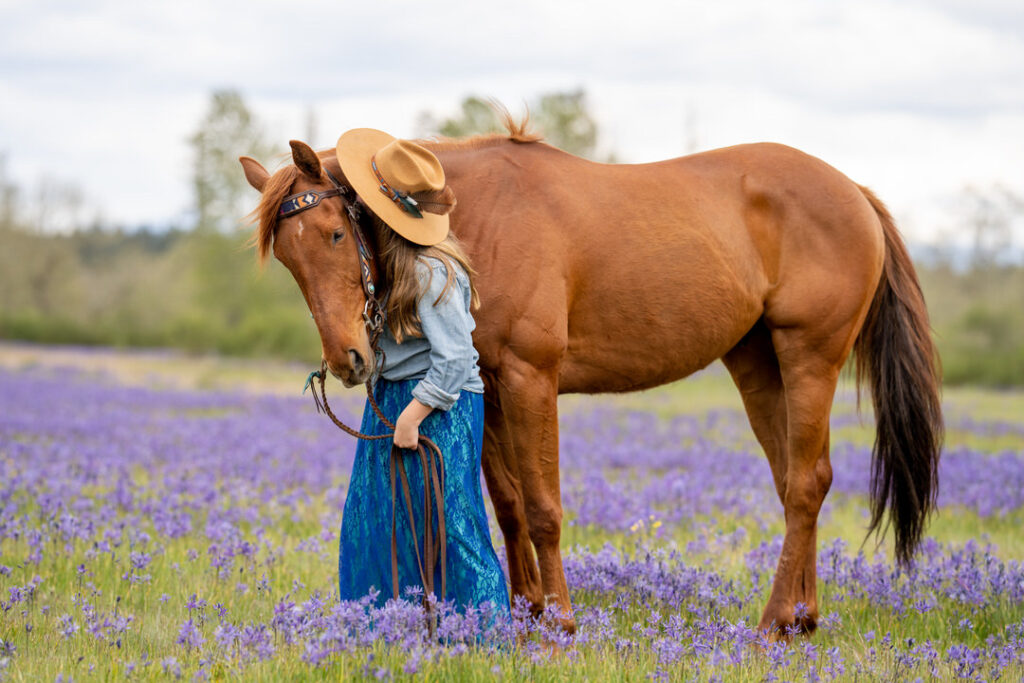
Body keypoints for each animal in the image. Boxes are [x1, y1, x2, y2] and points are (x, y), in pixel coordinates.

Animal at [239, 114, 942, 638]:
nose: (348, 361)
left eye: (334, 233)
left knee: (806, 487)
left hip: (809, 358)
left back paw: (772, 626)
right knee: (798, 479)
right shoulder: (485, 386)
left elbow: (544, 508)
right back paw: (801, 619)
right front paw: (525, 617)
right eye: (289, 259)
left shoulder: (531, 378)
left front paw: (561, 624)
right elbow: (510, 506)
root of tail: (854, 192)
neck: (474, 218)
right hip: (758, 365)